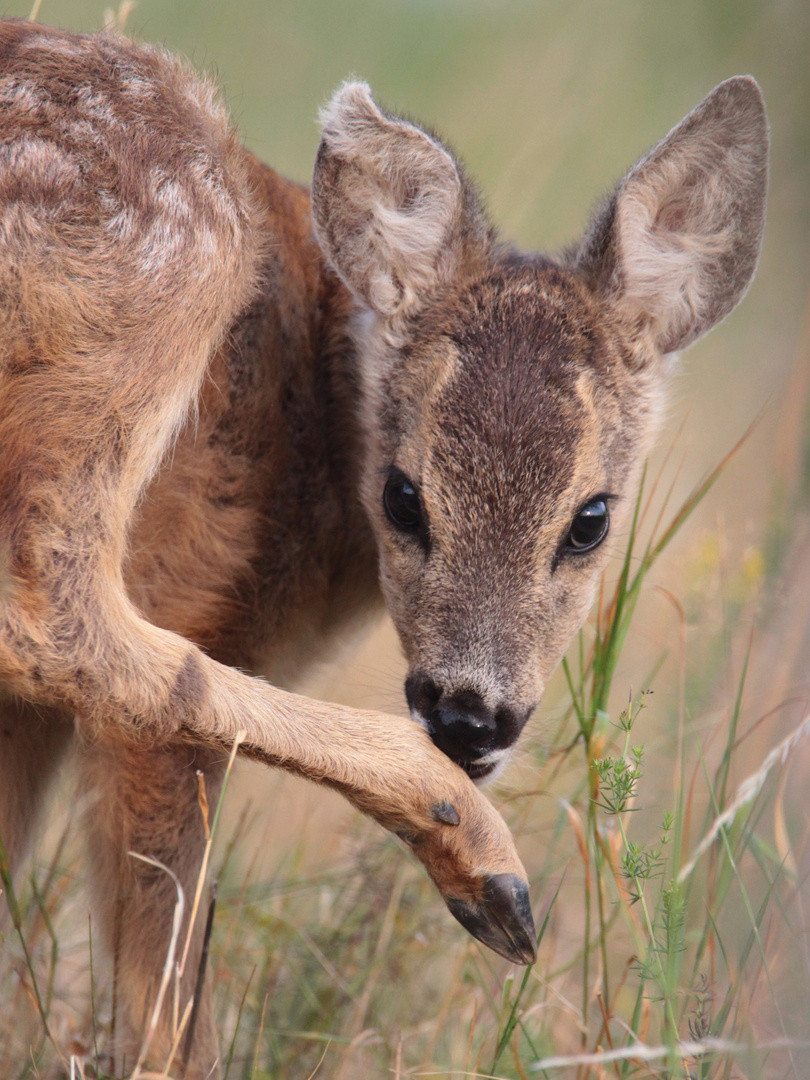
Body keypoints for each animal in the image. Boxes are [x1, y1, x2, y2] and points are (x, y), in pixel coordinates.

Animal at [0, 19, 768, 1080]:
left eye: (592, 518)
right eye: (403, 498)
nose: (470, 717)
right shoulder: (183, 613)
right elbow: (163, 985)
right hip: (167, 247)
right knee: (56, 610)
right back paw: (484, 868)